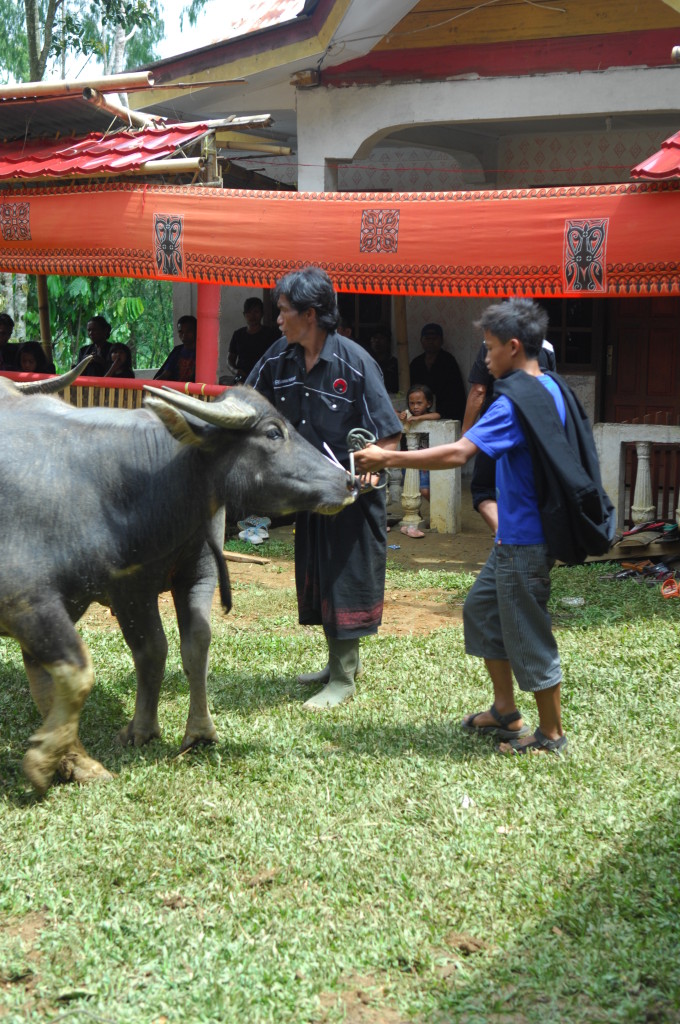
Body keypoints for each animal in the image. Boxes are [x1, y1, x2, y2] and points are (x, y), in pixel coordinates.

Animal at [0, 372, 356, 794]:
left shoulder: (196, 575)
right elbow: (139, 653)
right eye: (273, 433)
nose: (349, 480)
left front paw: (199, 732)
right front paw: (133, 732)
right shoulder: (107, 591)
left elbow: (196, 645)